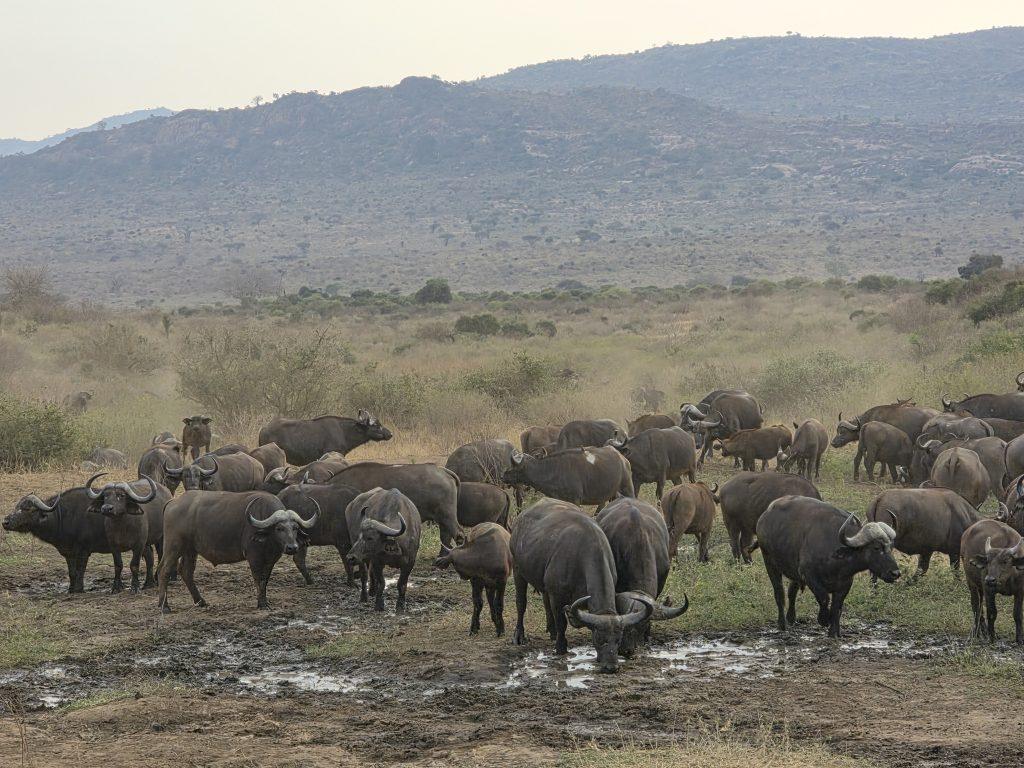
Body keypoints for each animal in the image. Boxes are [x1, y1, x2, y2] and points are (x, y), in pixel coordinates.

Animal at [157, 491, 317, 612]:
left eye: (295, 528)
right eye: (279, 528)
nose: (292, 547)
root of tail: (172, 502)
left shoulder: (271, 560)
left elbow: (265, 580)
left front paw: (265, 601)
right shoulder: (254, 557)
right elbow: (258, 579)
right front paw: (261, 604)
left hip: (190, 550)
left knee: (186, 571)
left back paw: (200, 601)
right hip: (173, 546)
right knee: (164, 570)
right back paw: (165, 606)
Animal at [504, 446, 634, 510]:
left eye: (514, 465)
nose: (503, 475)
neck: (553, 470)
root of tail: (623, 460)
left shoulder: (575, 500)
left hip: (627, 489)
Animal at [510, 498, 653, 672]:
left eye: (618, 639)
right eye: (599, 639)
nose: (611, 667)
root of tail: (521, 518)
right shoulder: (557, 596)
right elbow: (562, 623)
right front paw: (561, 647)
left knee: (545, 602)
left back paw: (551, 631)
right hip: (517, 569)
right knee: (521, 603)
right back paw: (519, 635)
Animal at [757, 496, 899, 637]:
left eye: (891, 547)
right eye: (876, 547)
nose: (895, 573)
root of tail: (765, 515)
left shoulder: (845, 583)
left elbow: (837, 607)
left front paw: (834, 632)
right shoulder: (809, 575)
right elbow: (824, 598)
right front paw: (824, 619)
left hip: (794, 572)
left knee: (792, 592)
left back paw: (791, 618)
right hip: (769, 561)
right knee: (779, 593)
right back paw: (782, 624)